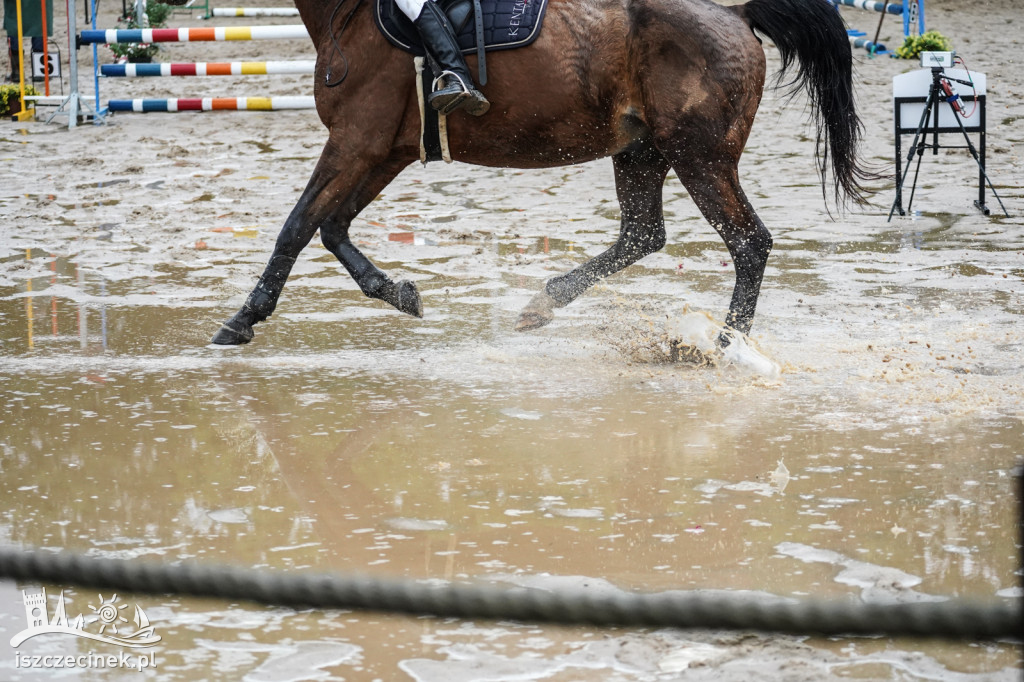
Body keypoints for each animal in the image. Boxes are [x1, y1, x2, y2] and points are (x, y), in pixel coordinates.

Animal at [211, 0, 868, 346]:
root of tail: (735, 11)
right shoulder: (381, 150)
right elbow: (332, 227)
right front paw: (397, 292)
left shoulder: (354, 142)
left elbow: (297, 226)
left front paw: (244, 319)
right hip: (642, 153)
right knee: (643, 234)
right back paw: (543, 303)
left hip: (700, 156)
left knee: (748, 242)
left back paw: (728, 345)